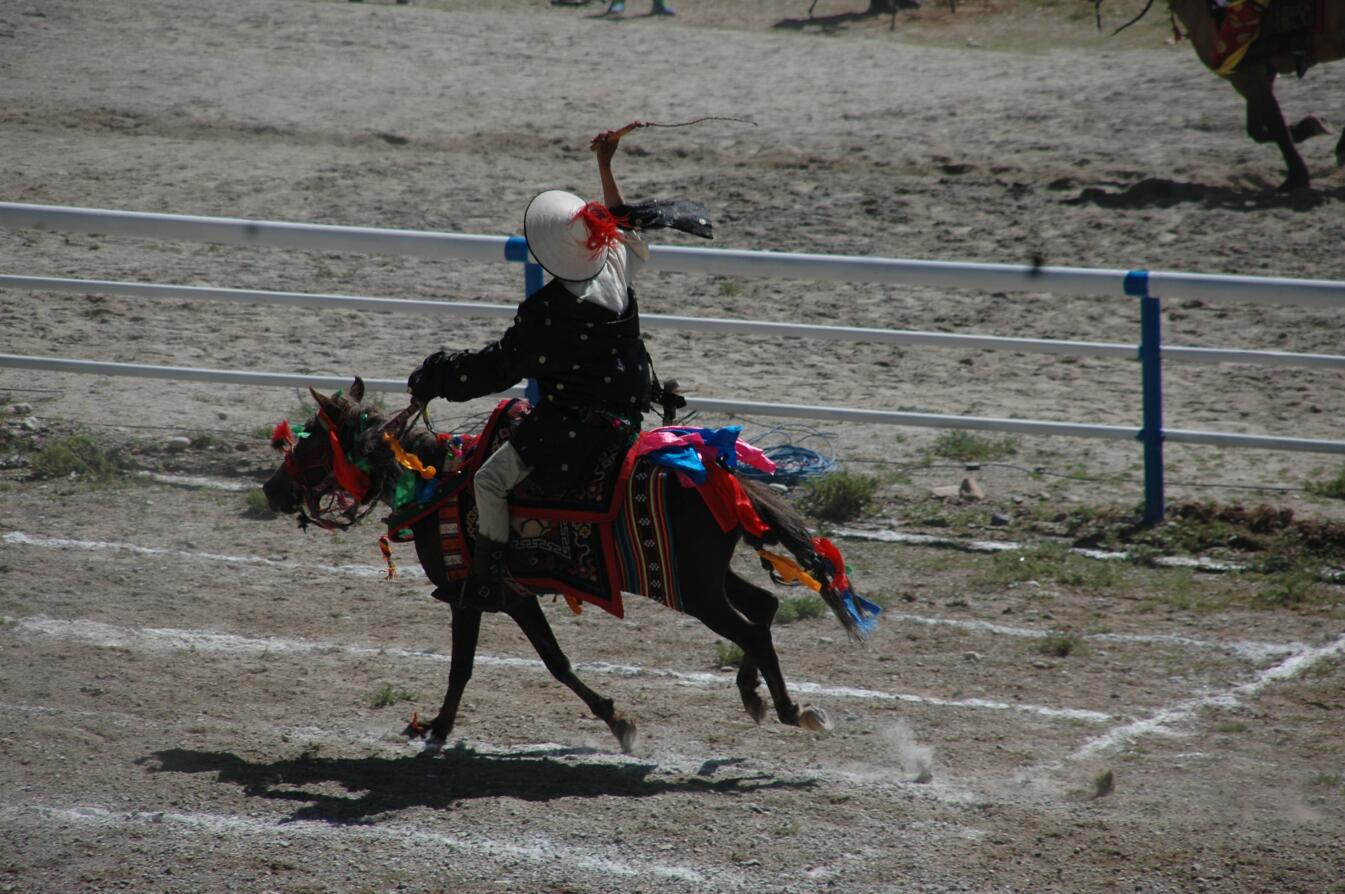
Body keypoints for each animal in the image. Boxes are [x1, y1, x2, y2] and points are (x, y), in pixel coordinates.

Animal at [259, 376, 882, 752]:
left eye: (310, 447)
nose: (270, 490)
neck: (440, 483)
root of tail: (721, 474)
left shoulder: (480, 595)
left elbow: (486, 666)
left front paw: (436, 727)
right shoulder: (513, 598)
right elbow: (548, 662)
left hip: (694, 589)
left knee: (751, 628)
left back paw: (789, 709)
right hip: (706, 578)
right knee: (765, 607)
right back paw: (756, 697)